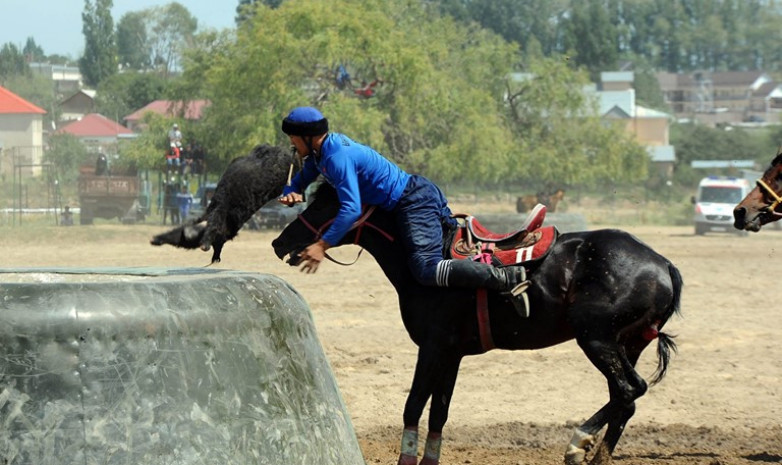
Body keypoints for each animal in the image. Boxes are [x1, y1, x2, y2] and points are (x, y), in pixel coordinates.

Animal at [272, 184, 684, 464]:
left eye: (327, 203)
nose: (279, 242)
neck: (432, 261)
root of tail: (663, 263)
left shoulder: (433, 347)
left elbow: (413, 406)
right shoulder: (452, 354)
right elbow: (439, 412)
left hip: (596, 338)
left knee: (629, 389)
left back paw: (578, 442)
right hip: (625, 344)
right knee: (625, 399)